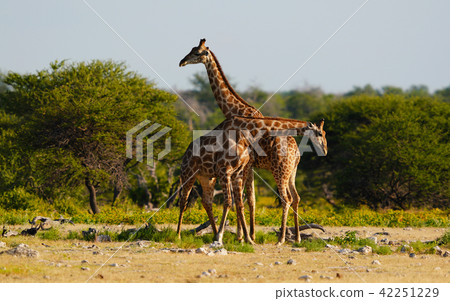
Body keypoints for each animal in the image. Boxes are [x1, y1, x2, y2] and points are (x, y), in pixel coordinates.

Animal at [176, 115, 326, 244]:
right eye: (320, 133)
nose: (325, 150)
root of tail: (186, 152)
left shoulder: (237, 172)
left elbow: (240, 203)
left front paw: (246, 238)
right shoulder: (225, 171)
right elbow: (231, 202)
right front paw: (229, 237)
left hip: (207, 177)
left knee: (206, 202)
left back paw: (213, 233)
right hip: (188, 173)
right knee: (183, 201)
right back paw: (179, 235)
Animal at [179, 38, 310, 243]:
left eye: (197, 53)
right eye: (191, 50)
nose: (182, 62)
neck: (236, 110)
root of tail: (296, 152)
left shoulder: (248, 164)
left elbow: (246, 198)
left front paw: (245, 236)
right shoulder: (249, 166)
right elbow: (249, 199)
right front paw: (246, 235)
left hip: (279, 170)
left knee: (286, 198)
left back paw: (282, 238)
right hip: (292, 171)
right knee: (296, 198)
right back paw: (296, 237)